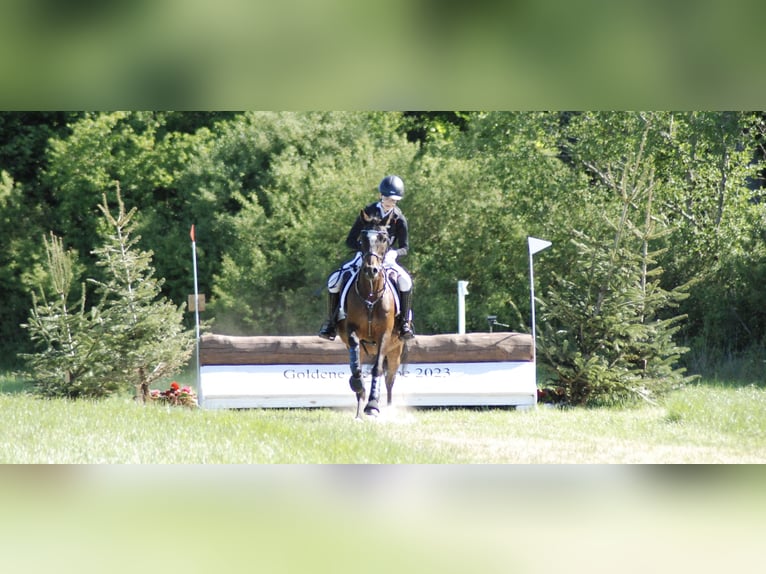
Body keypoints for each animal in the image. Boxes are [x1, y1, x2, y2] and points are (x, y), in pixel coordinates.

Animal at [338, 210, 408, 418]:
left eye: (384, 238)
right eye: (362, 239)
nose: (371, 270)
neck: (370, 294)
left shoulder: (384, 335)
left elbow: (377, 369)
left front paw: (373, 405)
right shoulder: (352, 332)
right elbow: (356, 366)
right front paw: (358, 384)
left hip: (395, 351)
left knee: (390, 378)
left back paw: (387, 407)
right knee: (358, 364)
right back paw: (359, 408)